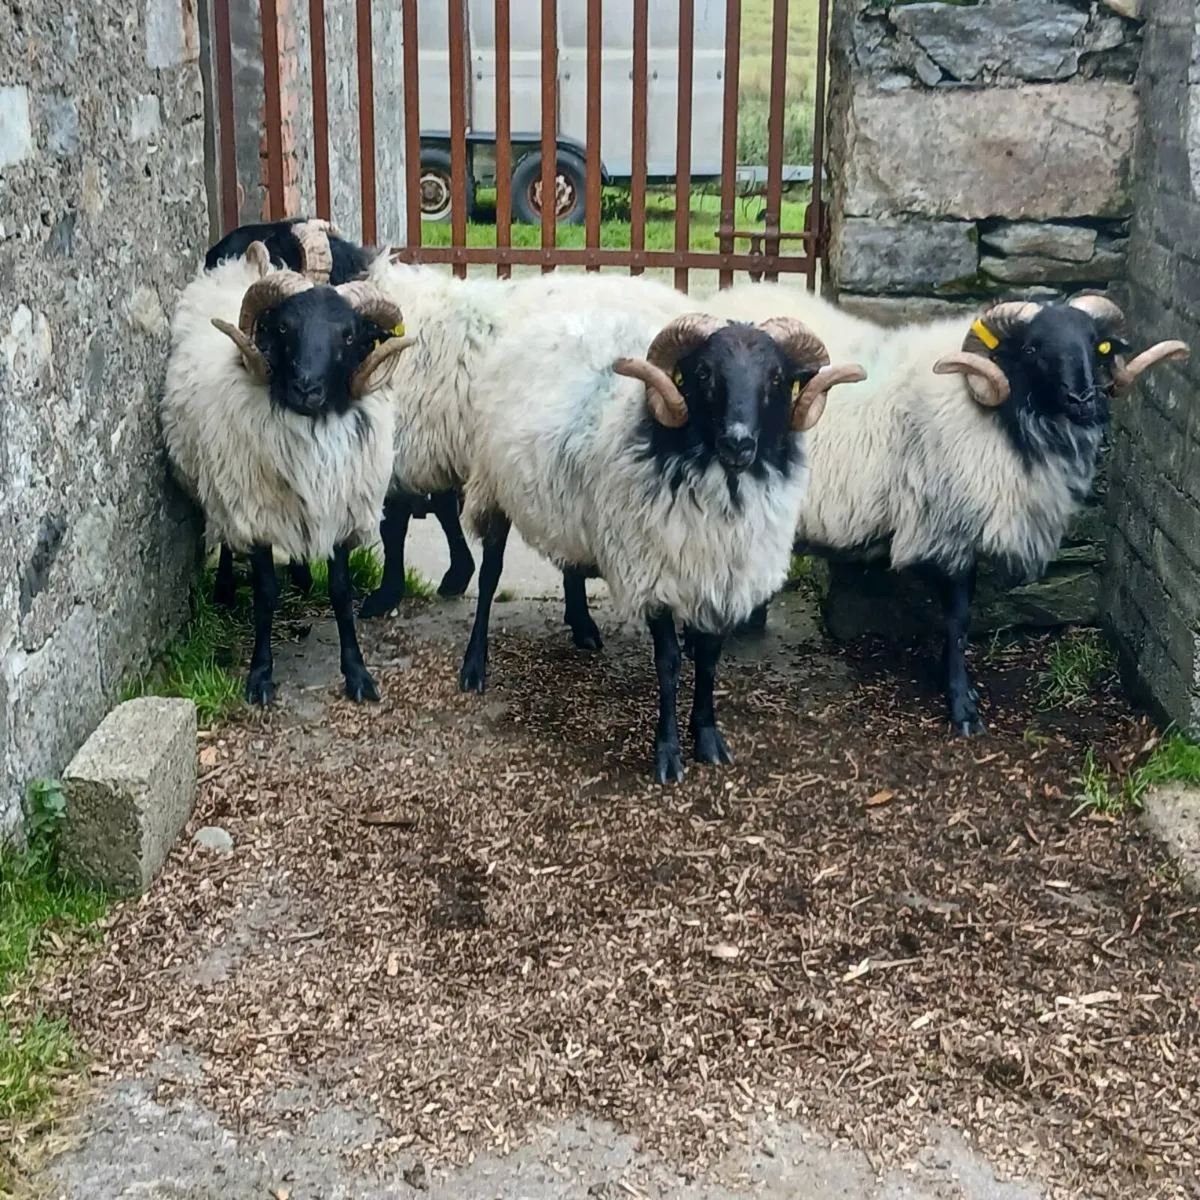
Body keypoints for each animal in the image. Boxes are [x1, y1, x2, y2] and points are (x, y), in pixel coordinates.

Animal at [162, 241, 414, 705]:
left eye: (348, 335)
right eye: (283, 328)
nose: (305, 389)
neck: (313, 428)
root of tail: (236, 266)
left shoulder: (340, 512)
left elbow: (341, 592)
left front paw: (357, 674)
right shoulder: (255, 513)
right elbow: (265, 596)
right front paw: (260, 675)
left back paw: (302, 577)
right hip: (221, 485)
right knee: (226, 539)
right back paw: (225, 588)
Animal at [456, 306, 865, 783]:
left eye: (777, 377)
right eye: (704, 373)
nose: (739, 443)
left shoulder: (721, 576)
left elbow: (708, 658)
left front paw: (708, 738)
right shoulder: (651, 571)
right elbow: (668, 662)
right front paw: (668, 753)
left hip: (570, 502)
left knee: (570, 562)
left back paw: (583, 626)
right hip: (492, 486)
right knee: (489, 577)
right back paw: (474, 667)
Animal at [683, 283, 1190, 734]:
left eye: (1095, 344)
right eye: (1032, 349)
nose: (1084, 400)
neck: (1001, 413)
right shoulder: (949, 530)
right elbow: (958, 620)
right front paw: (962, 705)